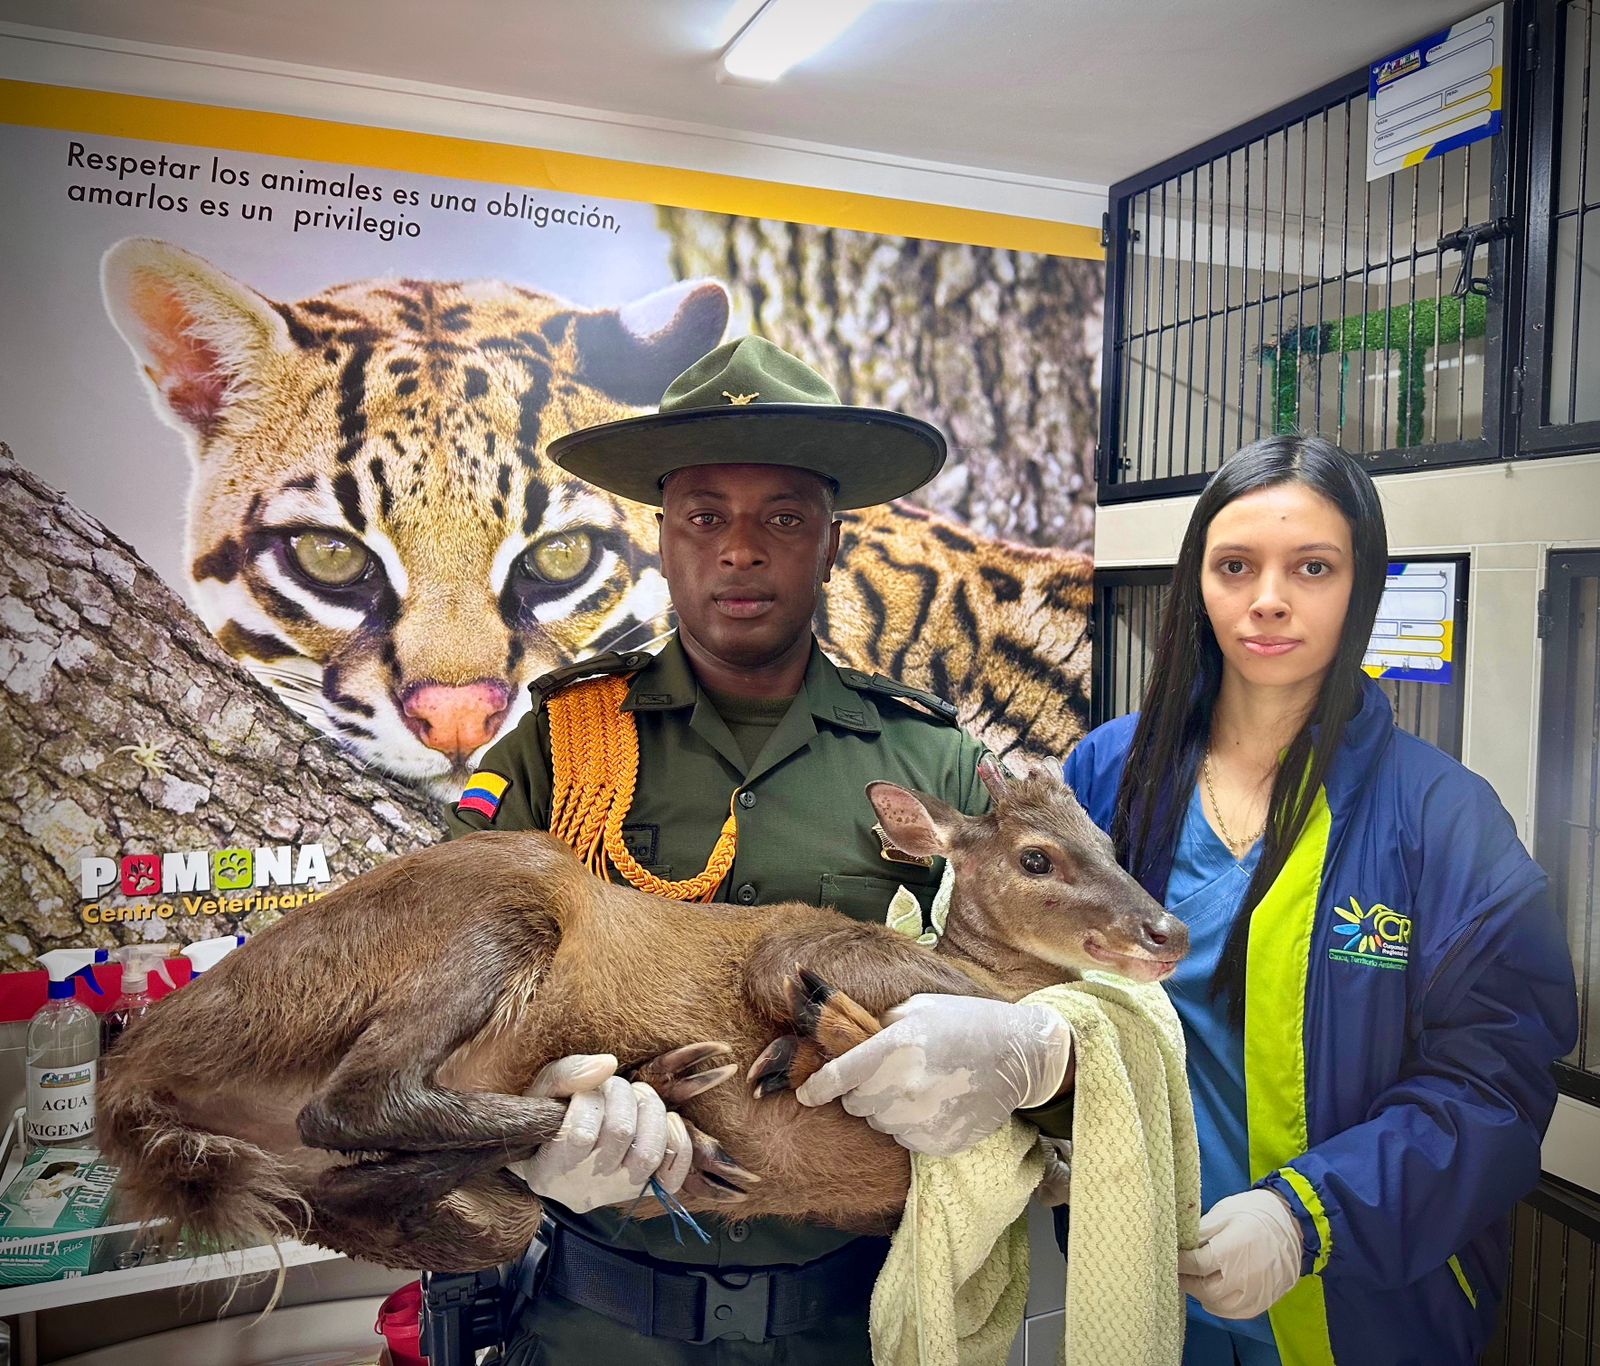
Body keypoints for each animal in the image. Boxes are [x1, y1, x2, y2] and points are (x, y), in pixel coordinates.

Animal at [96, 758, 1177, 1273]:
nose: (1163, 931)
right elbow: (808, 984)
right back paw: (671, 1118)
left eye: (1107, 836)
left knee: (373, 1183)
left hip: (431, 1212)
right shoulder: (799, 946)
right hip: (505, 897)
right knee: (355, 1099)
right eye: (1036, 857)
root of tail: (131, 1073)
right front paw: (794, 1052)